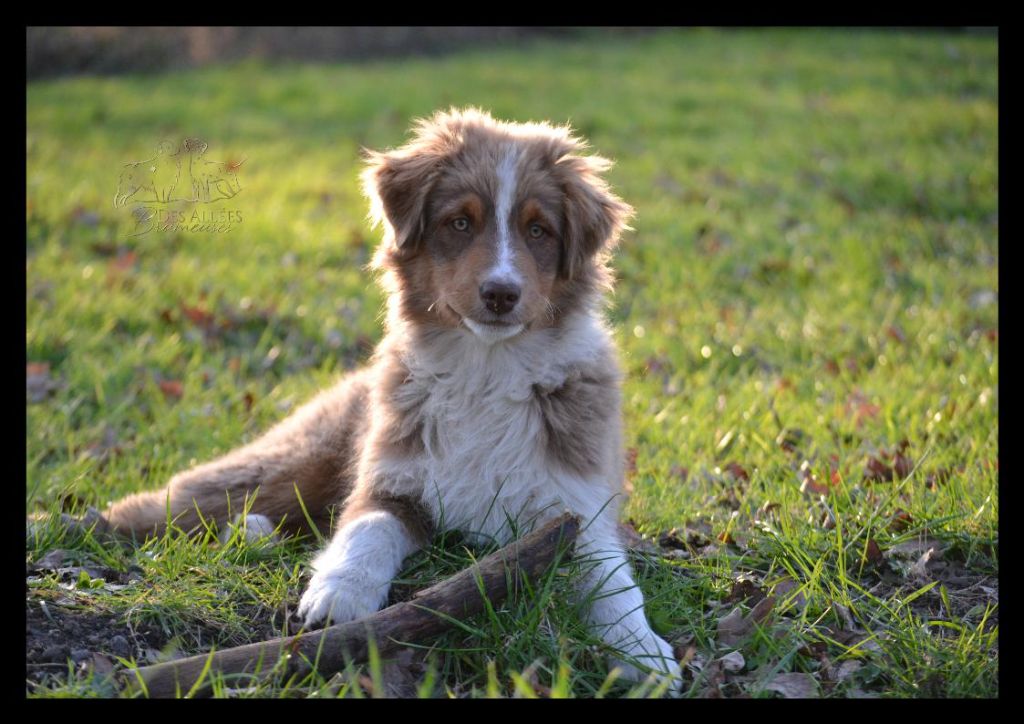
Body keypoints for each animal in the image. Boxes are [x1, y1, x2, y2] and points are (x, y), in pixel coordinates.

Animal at [92, 108, 680, 688]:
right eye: (460, 223)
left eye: (539, 230)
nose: (500, 294)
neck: (487, 368)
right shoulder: (393, 479)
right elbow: (365, 530)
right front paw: (340, 594)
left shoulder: (577, 506)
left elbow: (612, 578)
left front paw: (643, 650)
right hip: (288, 464)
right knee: (169, 503)